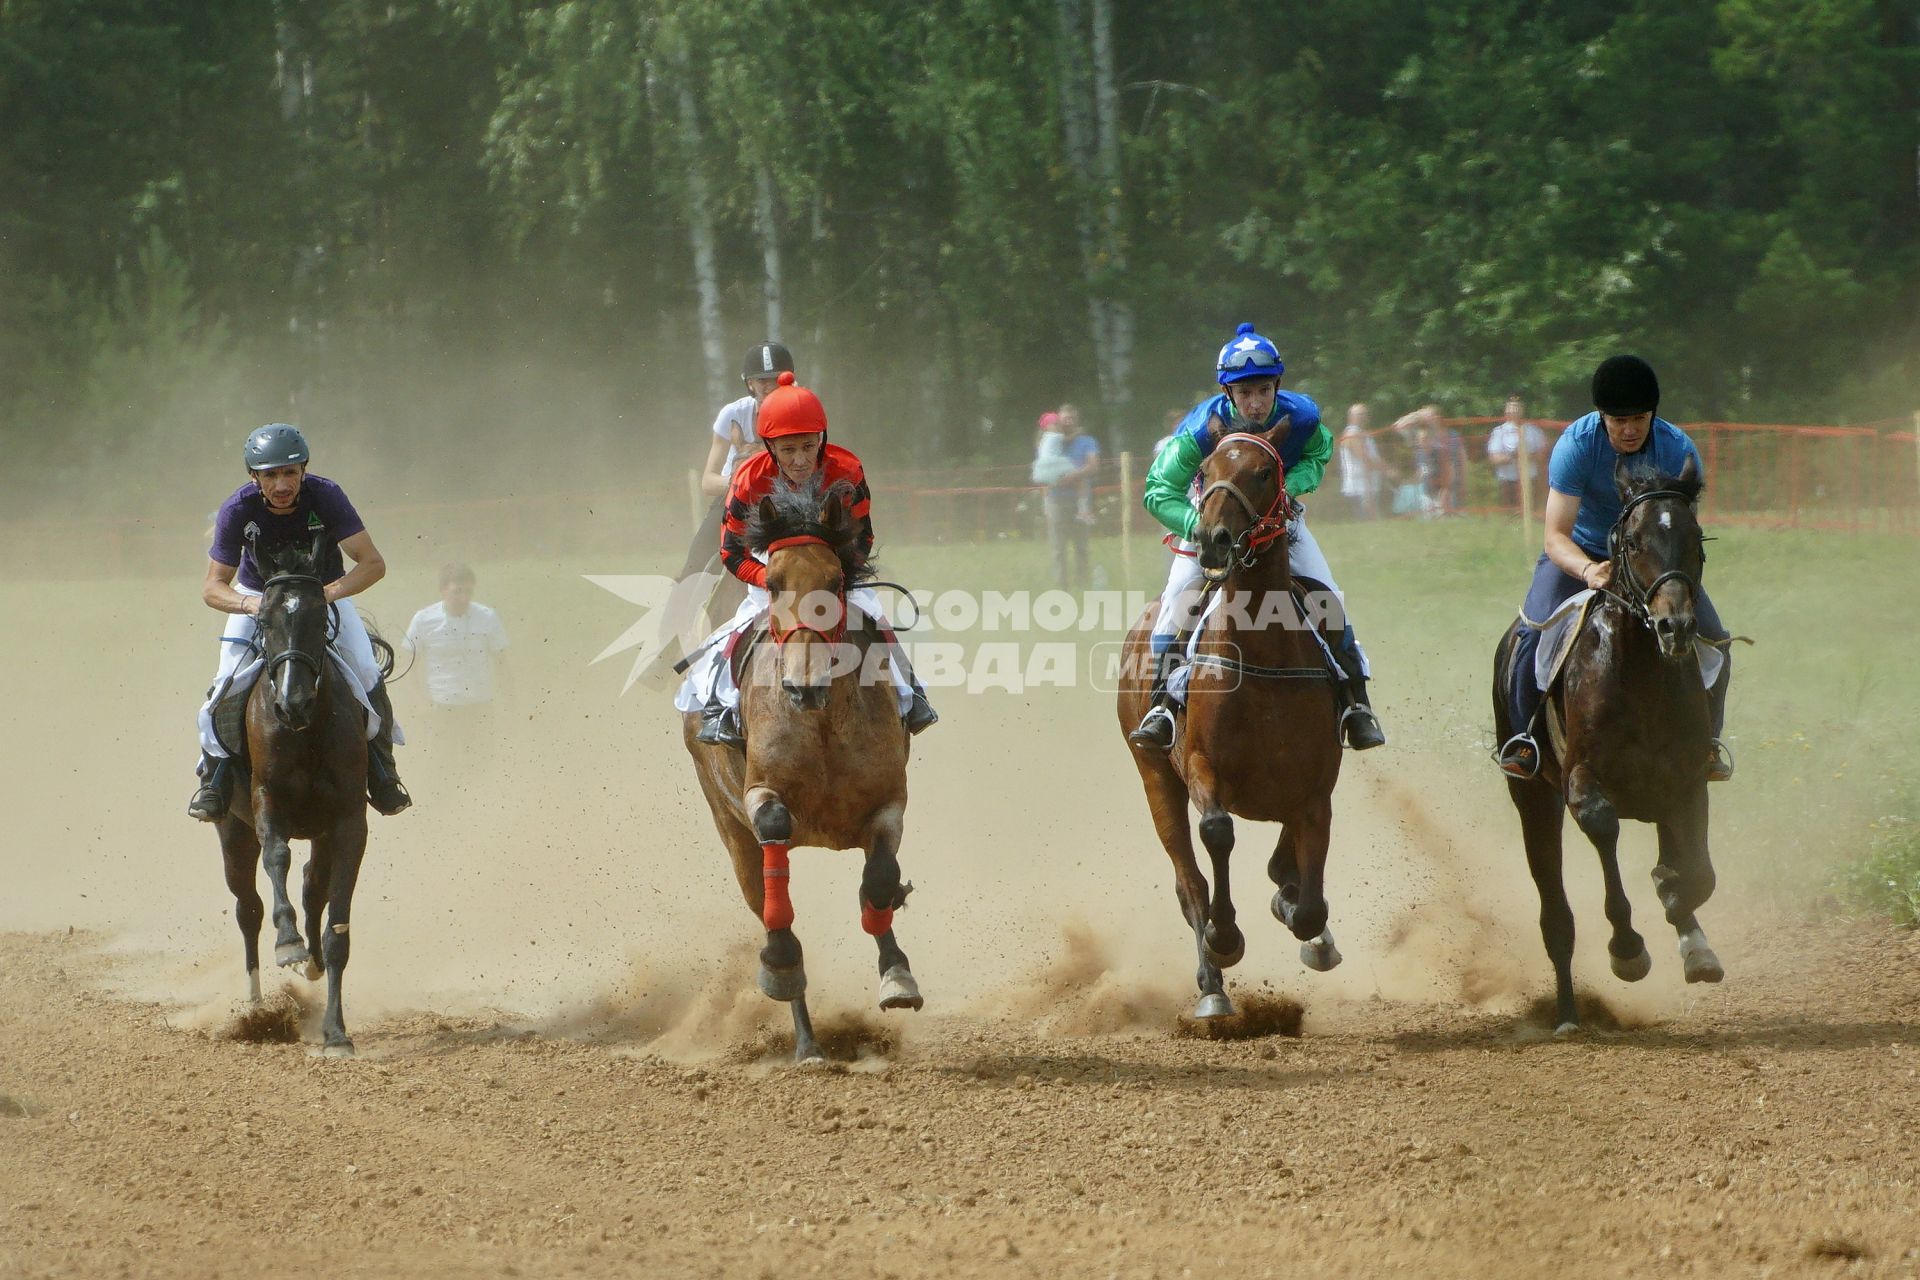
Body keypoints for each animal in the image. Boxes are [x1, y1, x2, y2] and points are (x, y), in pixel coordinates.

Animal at [216, 533, 372, 1059]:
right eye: (264, 620)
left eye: (319, 615)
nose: (292, 702)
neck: (306, 731)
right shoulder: (266, 803)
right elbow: (278, 855)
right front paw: (288, 941)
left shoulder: (348, 823)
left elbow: (338, 928)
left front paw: (337, 1034)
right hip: (232, 831)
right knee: (248, 908)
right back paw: (256, 1008)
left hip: (320, 833)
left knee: (312, 885)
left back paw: (311, 965)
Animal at [687, 475, 925, 1066]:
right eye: (772, 583)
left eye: (835, 581)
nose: (803, 684)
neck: (821, 720)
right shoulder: (759, 794)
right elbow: (776, 847)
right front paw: (780, 965)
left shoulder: (889, 800)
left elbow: (879, 880)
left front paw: (897, 975)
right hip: (729, 829)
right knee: (773, 908)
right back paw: (805, 1033)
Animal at [1121, 426, 1344, 1028]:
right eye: (1206, 469)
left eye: (1264, 473)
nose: (1212, 540)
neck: (1263, 653)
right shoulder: (1202, 768)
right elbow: (1218, 835)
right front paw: (1226, 937)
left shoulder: (1315, 786)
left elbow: (1306, 896)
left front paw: (1295, 909)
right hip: (1154, 778)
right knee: (1189, 881)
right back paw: (1212, 987)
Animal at [1482, 454, 1728, 1036]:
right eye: (1633, 541)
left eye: (1695, 538)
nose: (1675, 625)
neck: (1641, 670)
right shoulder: (1583, 783)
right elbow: (1605, 829)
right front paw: (1628, 950)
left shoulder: (1687, 782)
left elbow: (1695, 874)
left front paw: (1688, 931)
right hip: (1532, 798)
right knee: (1556, 917)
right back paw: (1569, 1016)